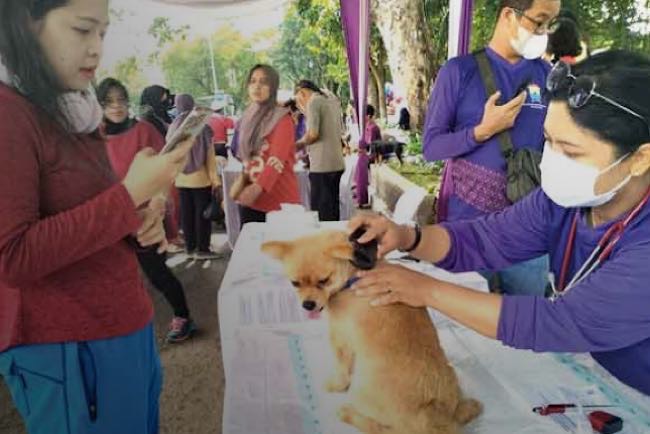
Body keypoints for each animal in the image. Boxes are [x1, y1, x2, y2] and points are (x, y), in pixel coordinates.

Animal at [260, 231, 478, 434]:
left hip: (361, 391)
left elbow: (342, 368)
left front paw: (336, 385)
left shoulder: (340, 337)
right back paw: (466, 408)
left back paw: (347, 413)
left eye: (324, 281)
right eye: (294, 283)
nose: (308, 305)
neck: (352, 276)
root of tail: (433, 422)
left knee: (379, 428)